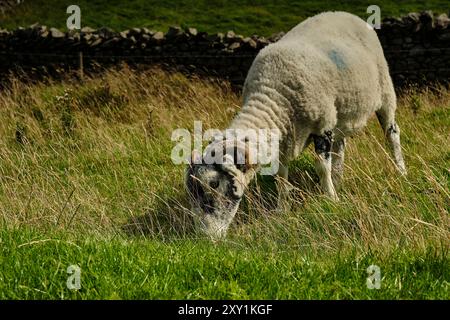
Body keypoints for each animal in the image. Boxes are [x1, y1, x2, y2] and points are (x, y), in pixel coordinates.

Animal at [186, 11, 408, 239]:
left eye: (214, 184)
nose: (205, 237)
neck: (273, 95)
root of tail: (343, 13)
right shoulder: (284, 138)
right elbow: (281, 175)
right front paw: (282, 209)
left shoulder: (323, 124)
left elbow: (322, 167)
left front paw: (331, 199)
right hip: (342, 111)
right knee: (340, 147)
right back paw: (338, 180)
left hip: (384, 91)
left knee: (392, 133)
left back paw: (400, 170)